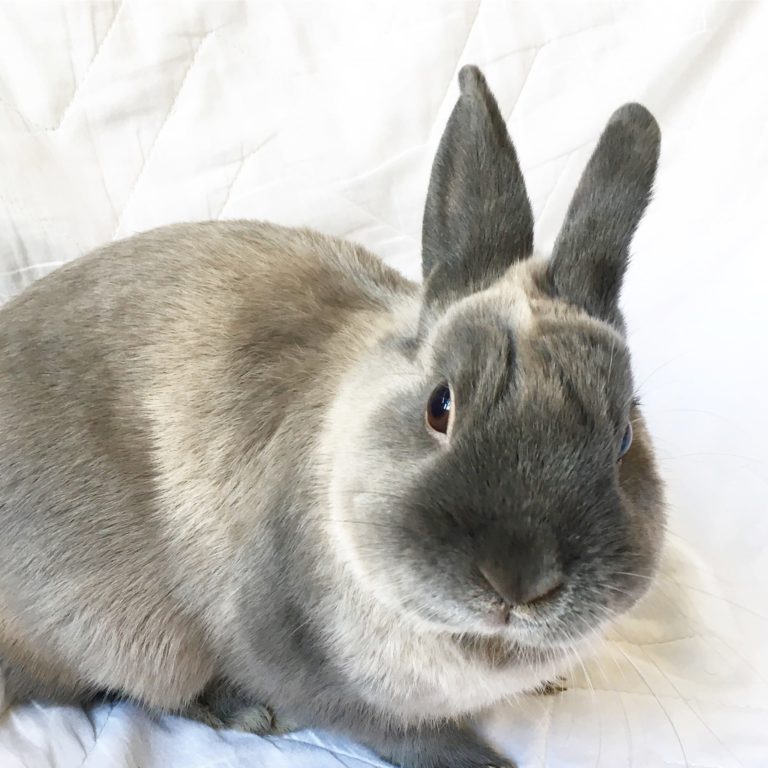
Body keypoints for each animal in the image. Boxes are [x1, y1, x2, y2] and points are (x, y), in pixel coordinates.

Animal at [0, 65, 665, 768]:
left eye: (625, 437)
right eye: (441, 406)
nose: (519, 580)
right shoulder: (298, 660)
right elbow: (396, 730)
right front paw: (479, 759)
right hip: (124, 631)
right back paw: (243, 712)